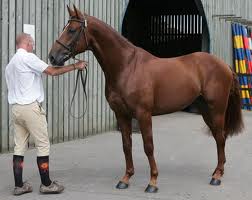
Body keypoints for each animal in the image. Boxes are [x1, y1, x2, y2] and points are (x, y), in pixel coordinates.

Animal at [49, 5, 244, 192]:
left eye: (72, 30)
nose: (53, 57)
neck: (126, 67)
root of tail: (224, 65)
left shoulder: (143, 114)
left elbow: (148, 146)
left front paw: (153, 182)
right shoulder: (121, 114)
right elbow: (126, 145)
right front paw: (125, 179)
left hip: (217, 110)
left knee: (220, 138)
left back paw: (217, 177)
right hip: (206, 111)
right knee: (219, 138)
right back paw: (216, 172)